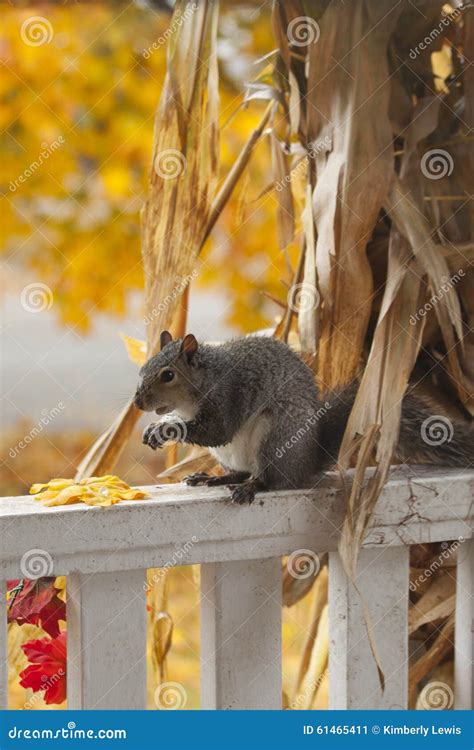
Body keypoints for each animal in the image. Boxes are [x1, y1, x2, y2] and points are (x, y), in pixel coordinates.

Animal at [134, 330, 474, 502]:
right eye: (144, 368)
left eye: (167, 375)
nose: (138, 402)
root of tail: (308, 461)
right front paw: (160, 425)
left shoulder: (228, 395)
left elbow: (218, 430)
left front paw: (165, 429)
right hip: (231, 455)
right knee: (242, 471)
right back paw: (214, 477)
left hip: (276, 436)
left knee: (271, 479)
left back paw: (251, 487)